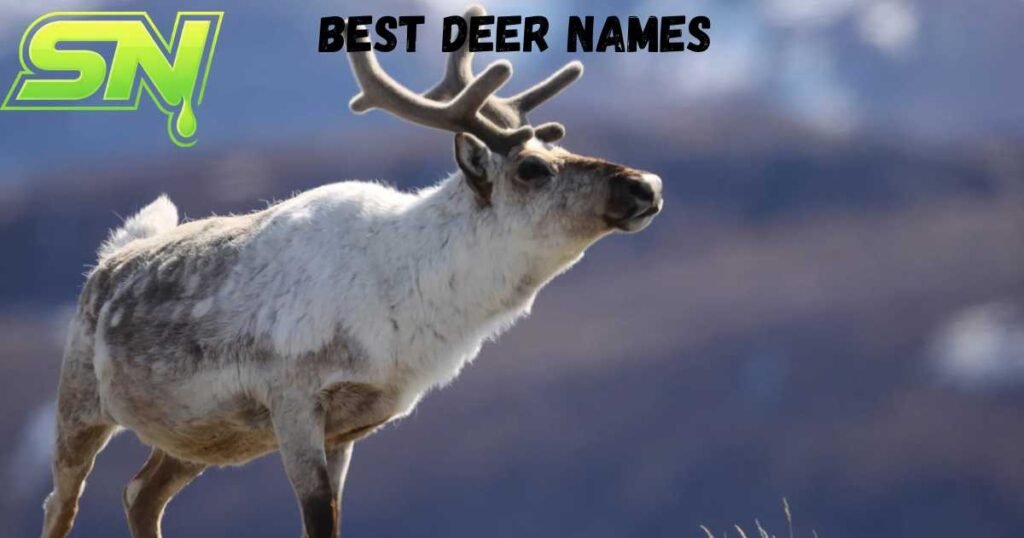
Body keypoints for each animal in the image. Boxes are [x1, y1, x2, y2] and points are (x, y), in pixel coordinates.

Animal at [40, 6, 662, 538]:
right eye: (532, 168)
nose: (646, 185)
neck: (410, 311)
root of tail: (107, 260)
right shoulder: (292, 400)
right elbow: (318, 518)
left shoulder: (347, 426)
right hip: (80, 404)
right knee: (62, 504)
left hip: (203, 438)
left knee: (139, 494)